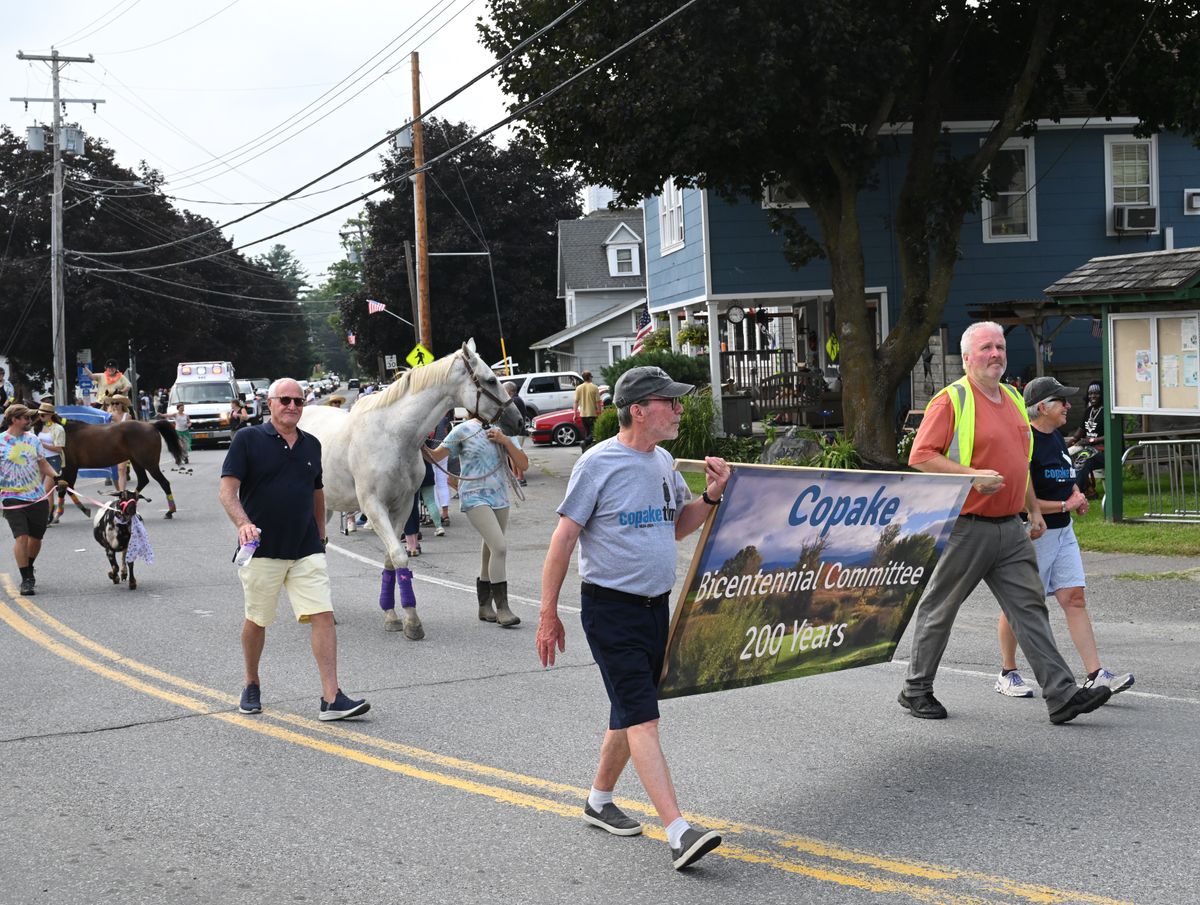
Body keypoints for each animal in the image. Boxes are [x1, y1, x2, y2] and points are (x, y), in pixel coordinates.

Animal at [300, 340, 520, 643]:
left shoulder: (403, 506)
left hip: (327, 506)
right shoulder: (373, 507)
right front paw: (412, 621)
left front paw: (393, 617)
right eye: (490, 380)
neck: (393, 436)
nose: (518, 420)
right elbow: (400, 555)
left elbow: (390, 560)